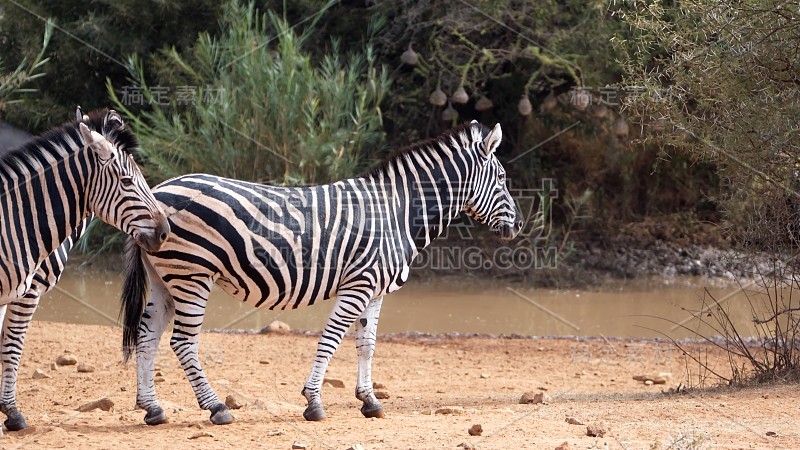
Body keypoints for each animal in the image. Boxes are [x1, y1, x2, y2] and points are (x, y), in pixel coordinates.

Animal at [0, 107, 169, 430]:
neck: (20, 218)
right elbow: (11, 347)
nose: (165, 232)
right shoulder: (26, 292)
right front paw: (12, 413)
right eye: (127, 181)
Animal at [115, 119, 520, 426]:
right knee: (183, 342)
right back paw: (216, 408)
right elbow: (331, 340)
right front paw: (313, 402)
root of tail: (157, 191)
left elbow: (366, 345)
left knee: (148, 336)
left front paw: (369, 401)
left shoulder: (375, 290)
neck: (398, 211)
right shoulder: (358, 285)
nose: (517, 226)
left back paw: (152, 409)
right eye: (501, 177)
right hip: (192, 275)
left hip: (165, 279)